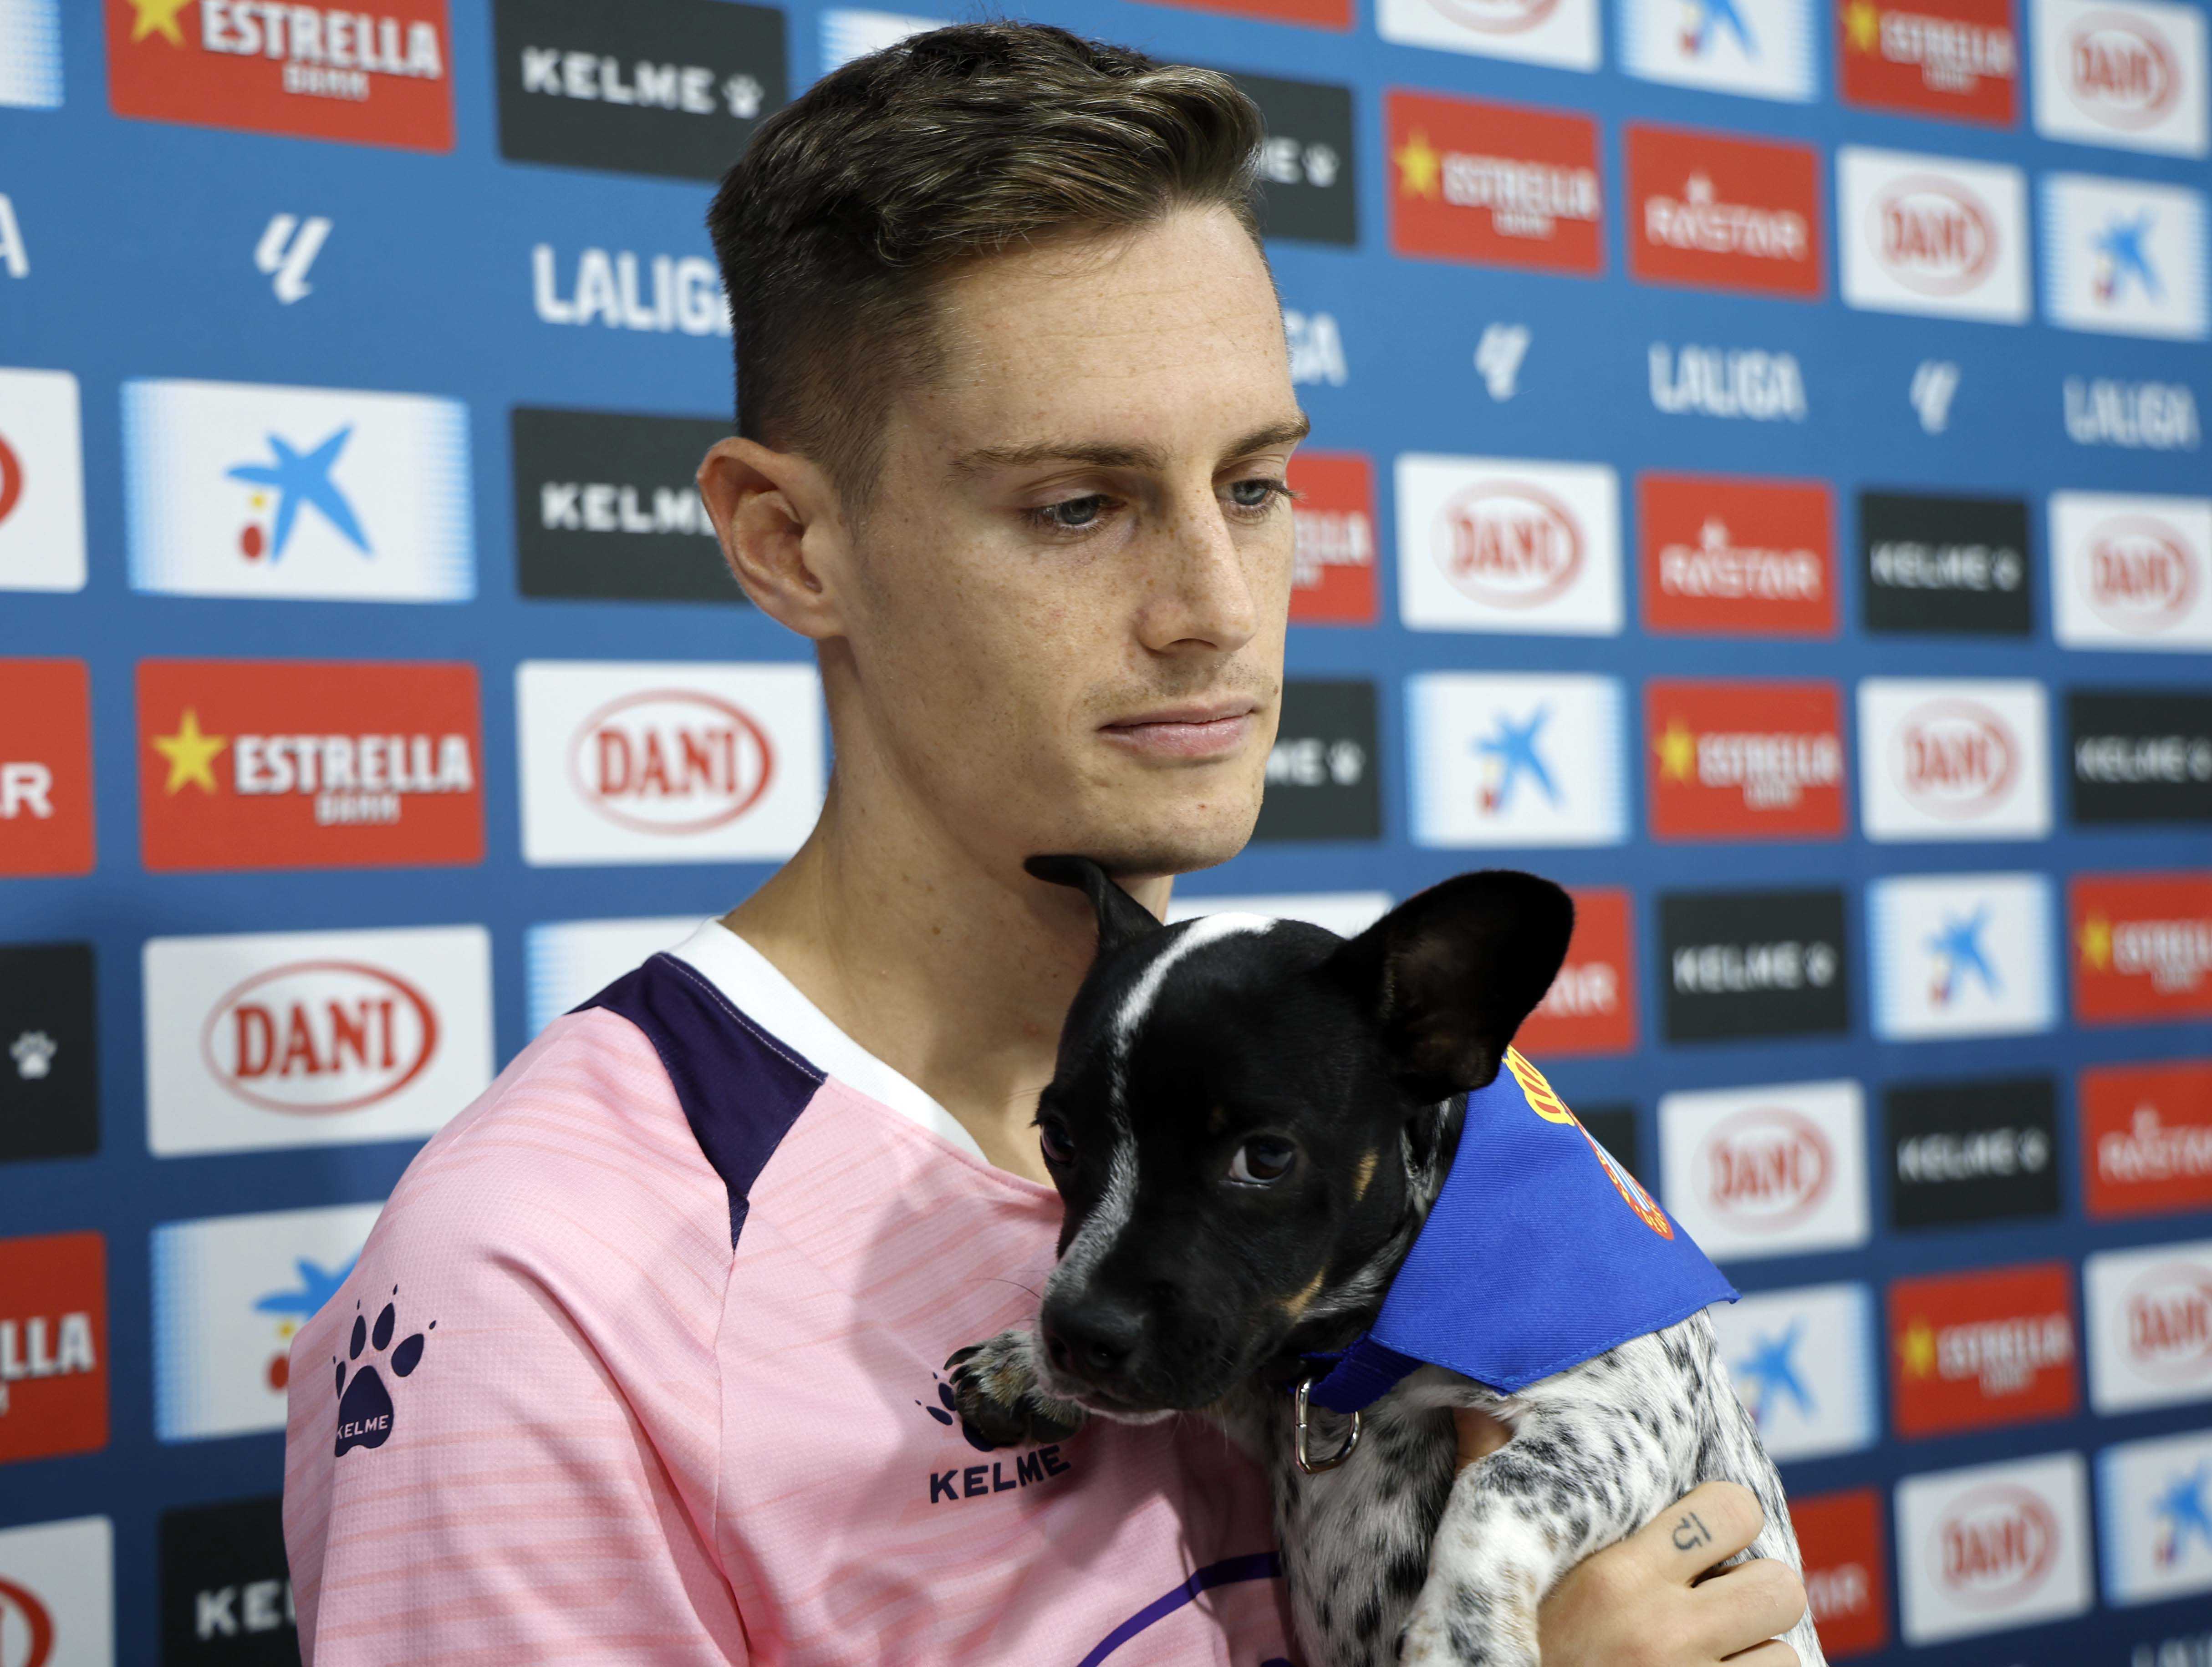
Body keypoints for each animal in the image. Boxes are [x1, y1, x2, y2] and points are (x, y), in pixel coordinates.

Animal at [950, 858, 1824, 1667]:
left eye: (1264, 1158)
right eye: (1057, 1139)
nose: (1074, 1335)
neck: (1355, 1350)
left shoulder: (1614, 1424)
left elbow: (1491, 1491)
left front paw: (1461, 1638)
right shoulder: (1259, 1383)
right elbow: (1223, 1379)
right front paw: (1021, 1361)